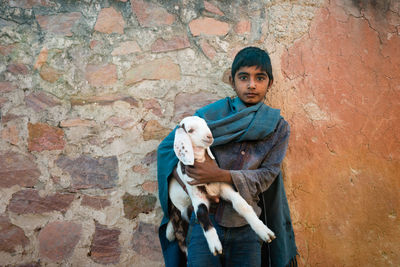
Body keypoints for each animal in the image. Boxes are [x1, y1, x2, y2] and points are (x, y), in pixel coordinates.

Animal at [166, 116, 276, 256]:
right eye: (190, 130)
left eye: (205, 124)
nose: (209, 136)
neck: (201, 161)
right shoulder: (195, 193)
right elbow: (201, 213)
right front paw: (215, 245)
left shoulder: (223, 187)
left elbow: (242, 204)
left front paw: (264, 231)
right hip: (179, 220)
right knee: (182, 242)